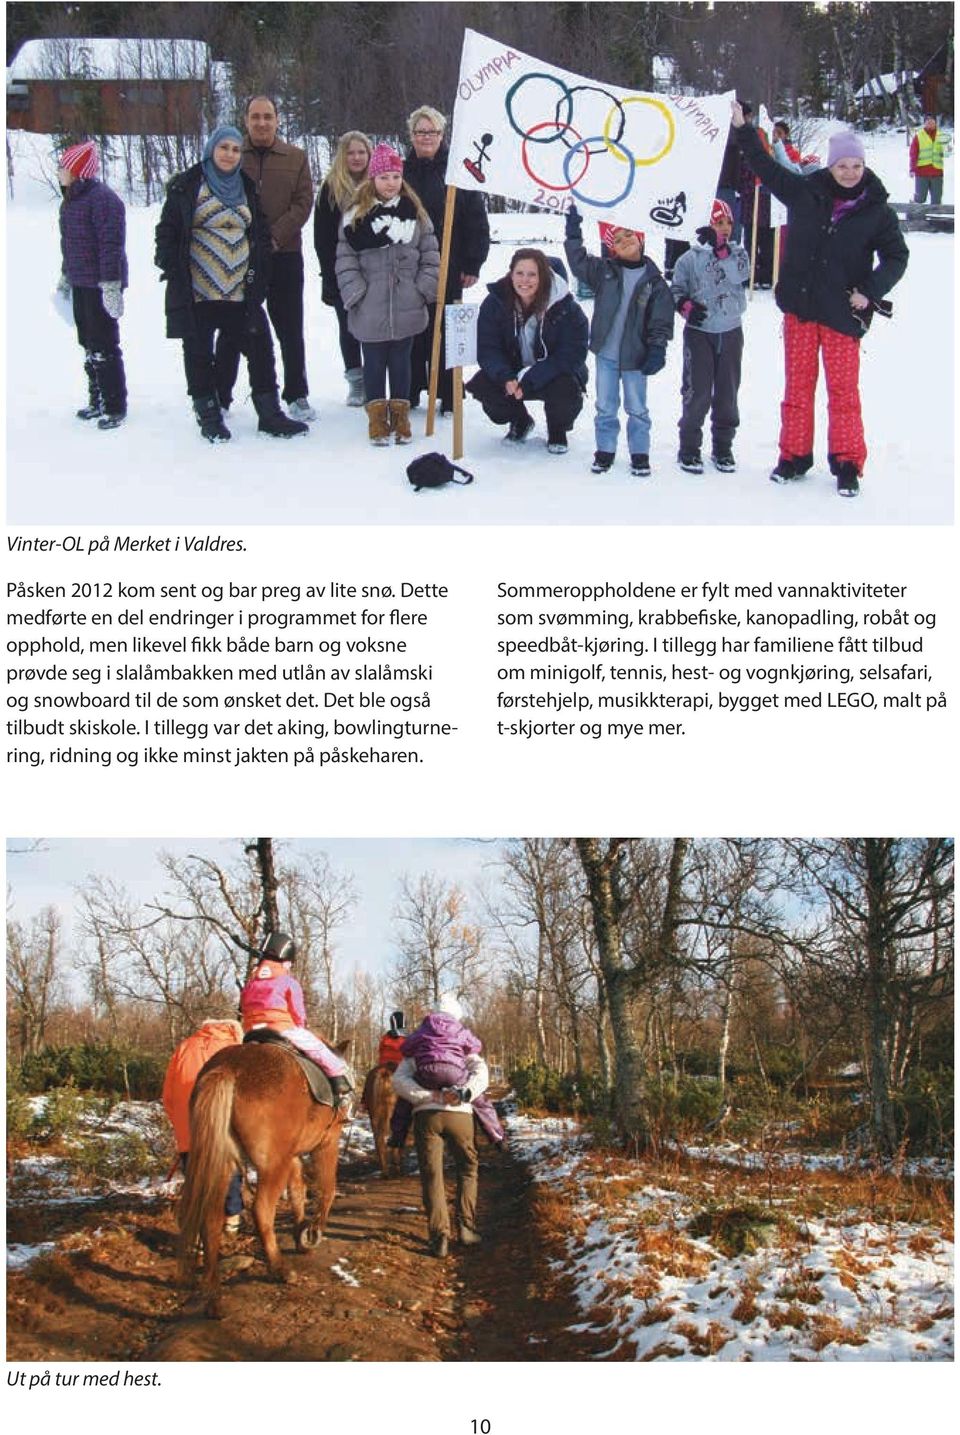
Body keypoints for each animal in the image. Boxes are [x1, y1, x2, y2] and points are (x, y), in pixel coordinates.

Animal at [175, 1038, 348, 1314]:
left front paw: (301, 1235)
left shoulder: (292, 1157)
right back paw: (278, 1268)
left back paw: (213, 1293)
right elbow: (327, 1189)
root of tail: (229, 1069)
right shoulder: (327, 1144)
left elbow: (297, 1191)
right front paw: (313, 1232)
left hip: (225, 1162)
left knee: (210, 1216)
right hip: (271, 1166)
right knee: (262, 1210)